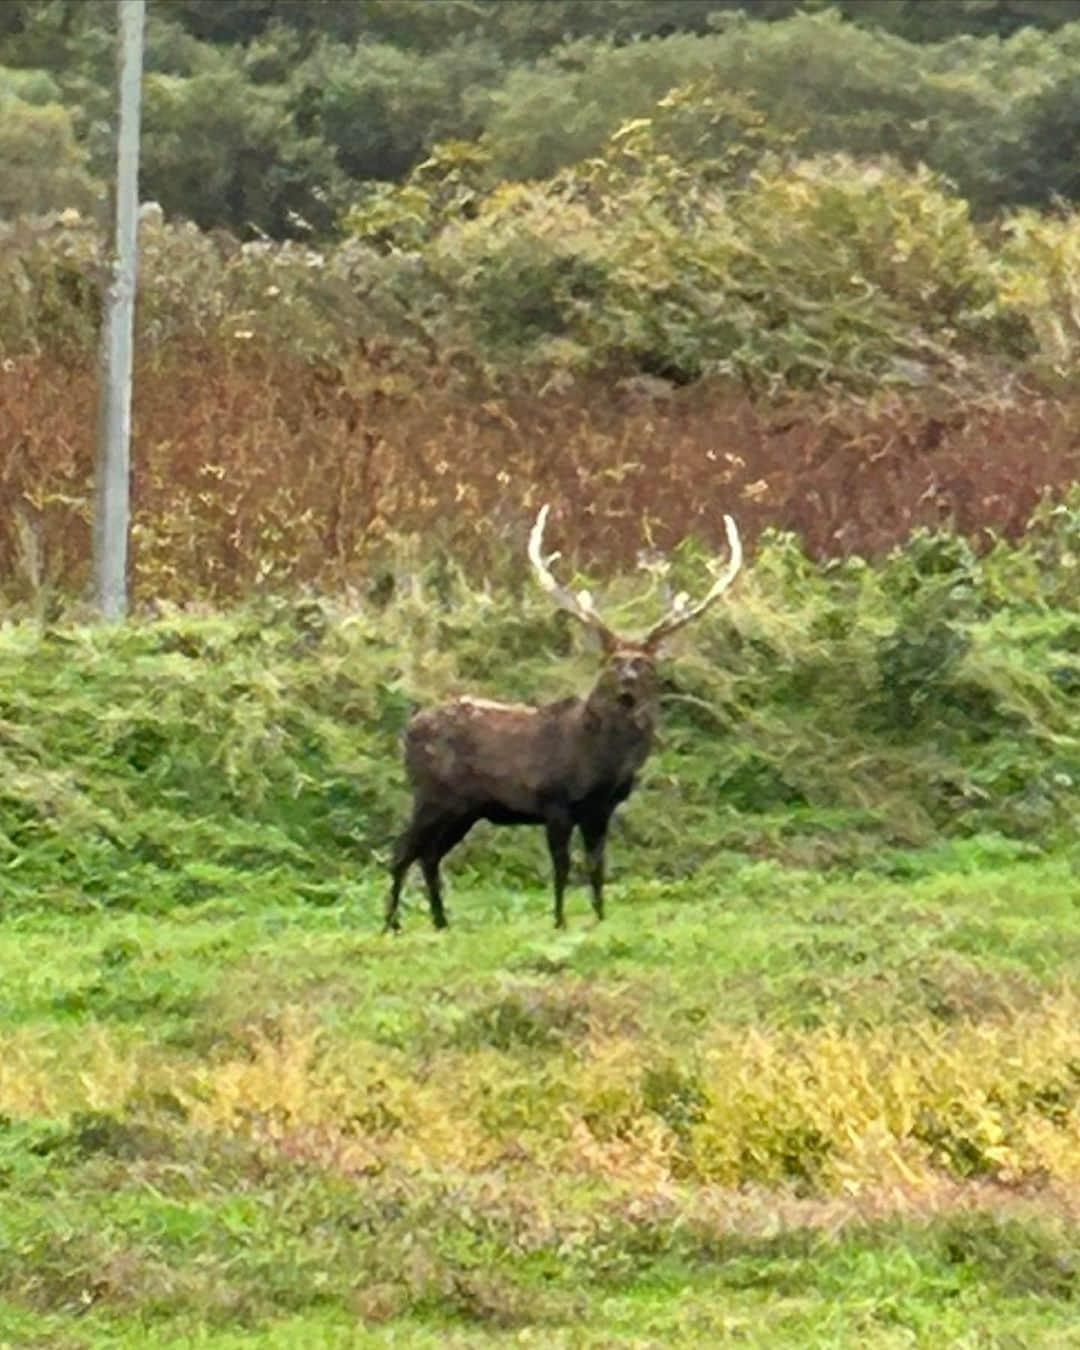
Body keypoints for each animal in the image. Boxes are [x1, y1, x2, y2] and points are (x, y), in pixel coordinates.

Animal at [383, 502, 745, 934]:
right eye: (612, 661)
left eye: (644, 663)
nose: (626, 681)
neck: (601, 765)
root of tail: (407, 731)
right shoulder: (554, 801)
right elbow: (561, 868)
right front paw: (559, 922)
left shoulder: (601, 810)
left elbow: (596, 867)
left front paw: (600, 917)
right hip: (432, 794)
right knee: (402, 850)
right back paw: (391, 925)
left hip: (464, 809)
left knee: (429, 854)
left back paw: (440, 922)